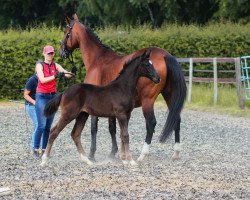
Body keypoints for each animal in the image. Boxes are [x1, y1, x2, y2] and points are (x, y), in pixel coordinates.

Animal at [59, 13, 187, 161]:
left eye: (66, 32)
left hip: (147, 101)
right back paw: (176, 152)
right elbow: (113, 128)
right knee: (176, 119)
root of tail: (165, 55)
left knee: (151, 123)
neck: (98, 59)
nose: (61, 52)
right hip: (169, 95)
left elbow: (94, 128)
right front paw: (116, 152)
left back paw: (143, 155)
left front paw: (92, 154)